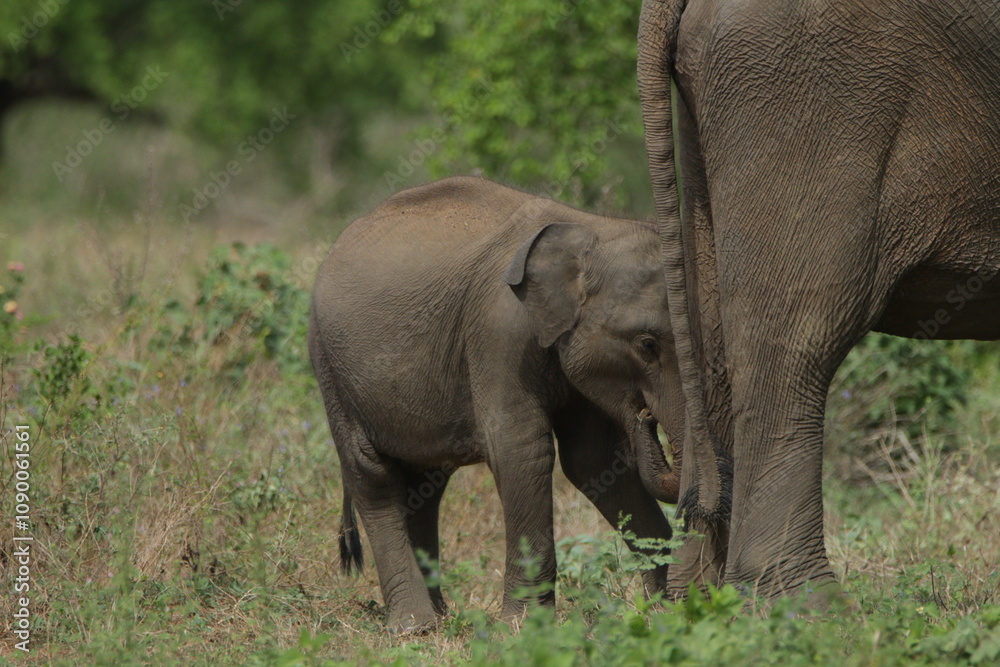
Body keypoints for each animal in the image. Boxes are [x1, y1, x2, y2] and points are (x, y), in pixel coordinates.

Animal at [308, 176, 683, 632]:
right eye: (646, 345)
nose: (644, 415)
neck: (589, 229)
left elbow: (594, 461)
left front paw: (671, 609)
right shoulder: (499, 332)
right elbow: (521, 450)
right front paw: (522, 629)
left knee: (424, 486)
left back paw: (440, 619)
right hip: (330, 367)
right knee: (373, 476)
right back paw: (415, 626)